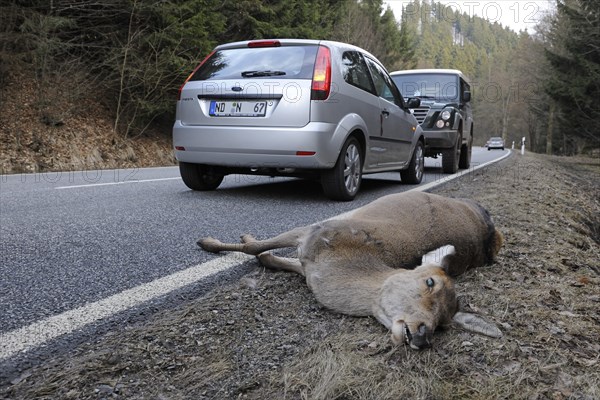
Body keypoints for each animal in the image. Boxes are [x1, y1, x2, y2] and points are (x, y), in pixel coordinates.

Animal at [199, 192, 504, 348]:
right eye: (430, 282)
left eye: (443, 324)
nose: (423, 336)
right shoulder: (315, 230)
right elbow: (257, 249)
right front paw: (211, 242)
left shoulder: (311, 255)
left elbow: (267, 257)